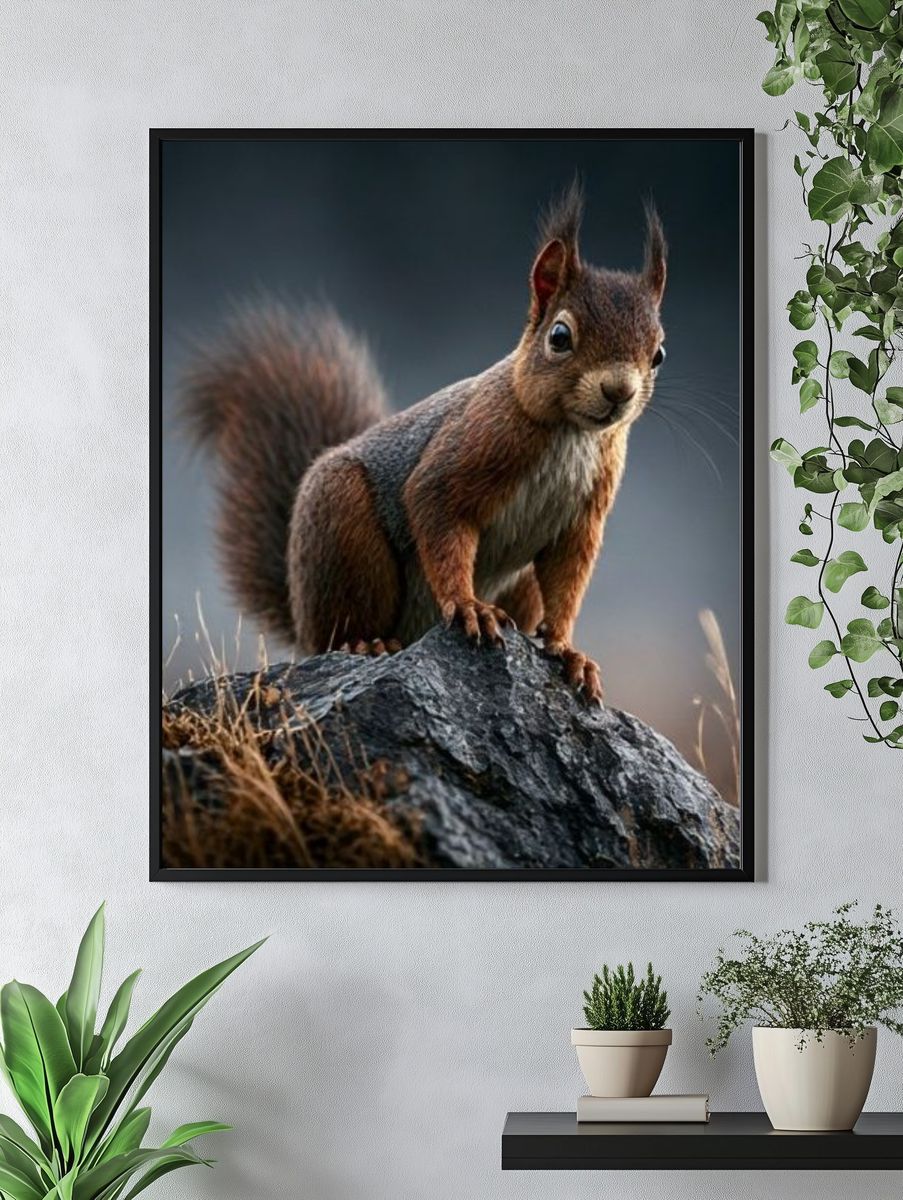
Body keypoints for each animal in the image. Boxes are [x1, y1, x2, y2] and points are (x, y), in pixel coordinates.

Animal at [183, 183, 667, 704]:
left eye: (659, 353)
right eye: (560, 336)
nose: (619, 391)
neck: (570, 434)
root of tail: (301, 614)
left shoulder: (583, 516)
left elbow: (568, 578)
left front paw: (567, 649)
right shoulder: (468, 449)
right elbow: (436, 511)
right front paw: (469, 606)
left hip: (519, 587)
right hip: (342, 526)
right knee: (344, 626)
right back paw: (368, 644)